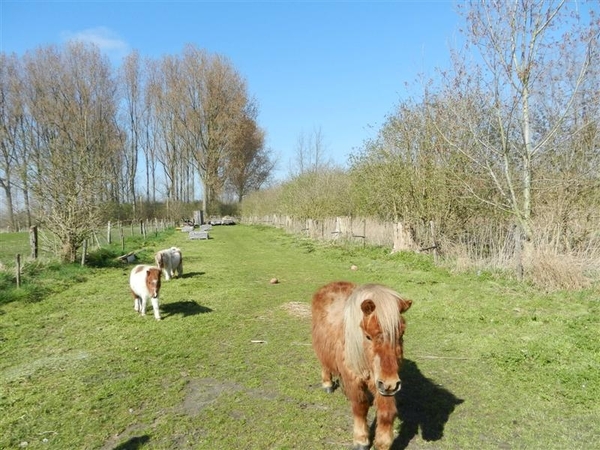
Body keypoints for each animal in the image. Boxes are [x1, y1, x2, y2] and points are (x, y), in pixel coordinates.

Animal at [310, 280, 412, 448]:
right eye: (368, 336)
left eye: (401, 334)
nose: (391, 384)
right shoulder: (355, 378)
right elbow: (360, 406)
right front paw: (361, 440)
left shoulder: (382, 383)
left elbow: (387, 412)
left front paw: (383, 443)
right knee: (325, 364)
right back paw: (328, 384)